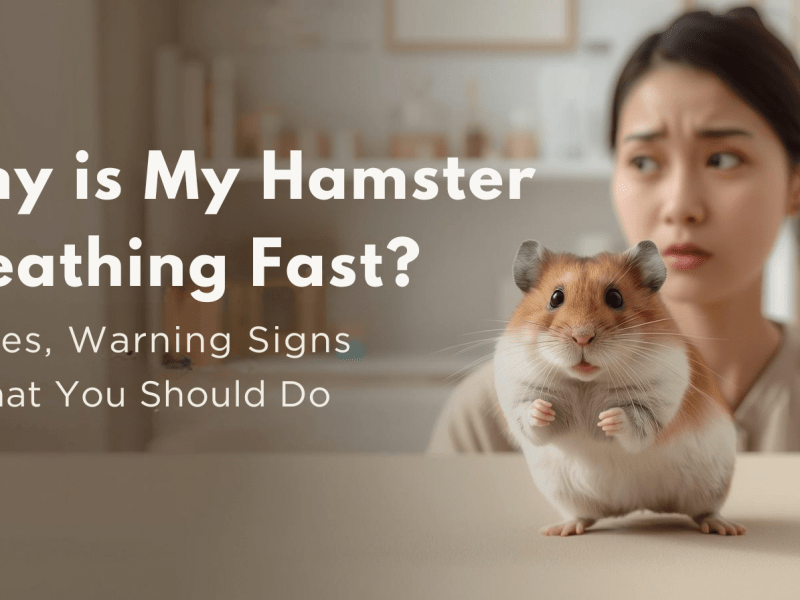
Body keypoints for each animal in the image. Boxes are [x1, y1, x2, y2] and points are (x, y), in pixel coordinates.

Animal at [493, 239, 746, 536]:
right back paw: (561, 529)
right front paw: (544, 410)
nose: (582, 336)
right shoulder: (518, 392)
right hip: (567, 495)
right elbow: (531, 419)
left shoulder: (656, 402)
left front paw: (607, 419)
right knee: (584, 516)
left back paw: (726, 528)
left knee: (704, 512)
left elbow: (635, 422)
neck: (586, 381)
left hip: (713, 485)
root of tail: (637, 505)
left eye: (615, 298)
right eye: (556, 297)